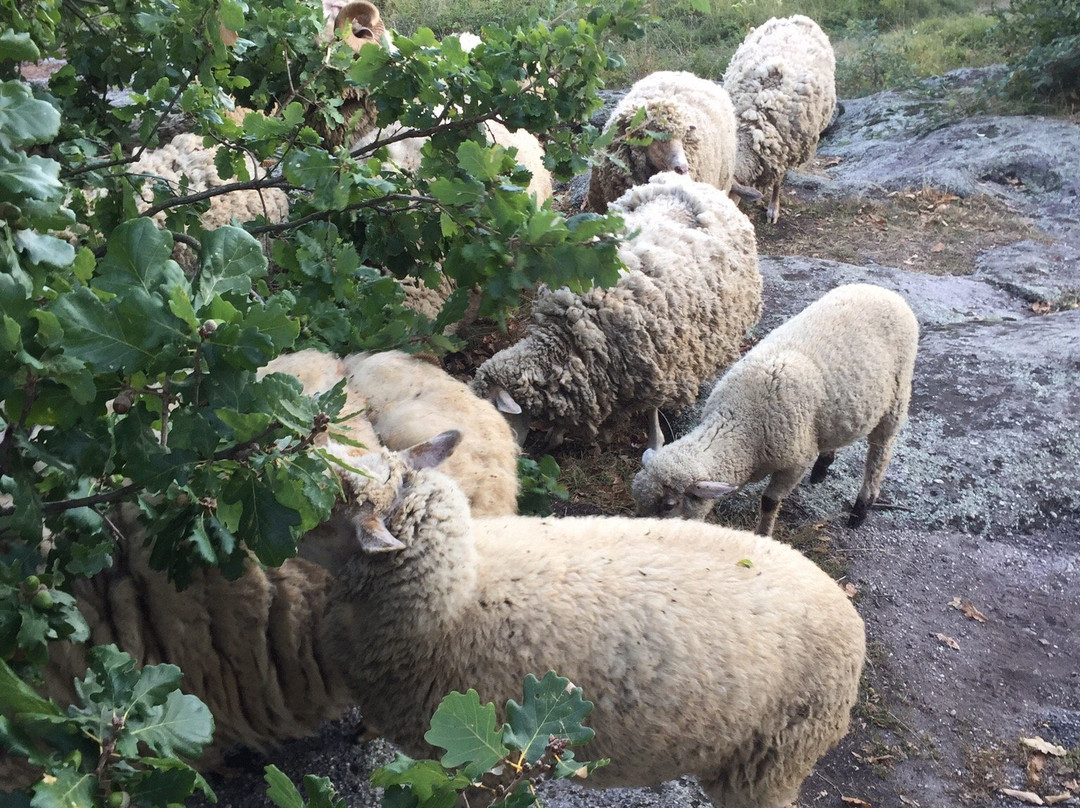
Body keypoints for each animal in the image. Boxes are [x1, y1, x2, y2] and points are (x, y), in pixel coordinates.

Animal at [470, 171, 760, 447]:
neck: (570, 336)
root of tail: (697, 185)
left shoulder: (655, 363)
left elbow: (652, 409)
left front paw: (655, 441)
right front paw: (556, 433)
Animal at [630, 283, 920, 535]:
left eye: (669, 505)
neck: (742, 421)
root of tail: (882, 290)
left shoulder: (795, 461)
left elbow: (769, 502)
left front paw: (763, 534)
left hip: (897, 394)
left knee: (880, 452)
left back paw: (861, 508)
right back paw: (823, 466)